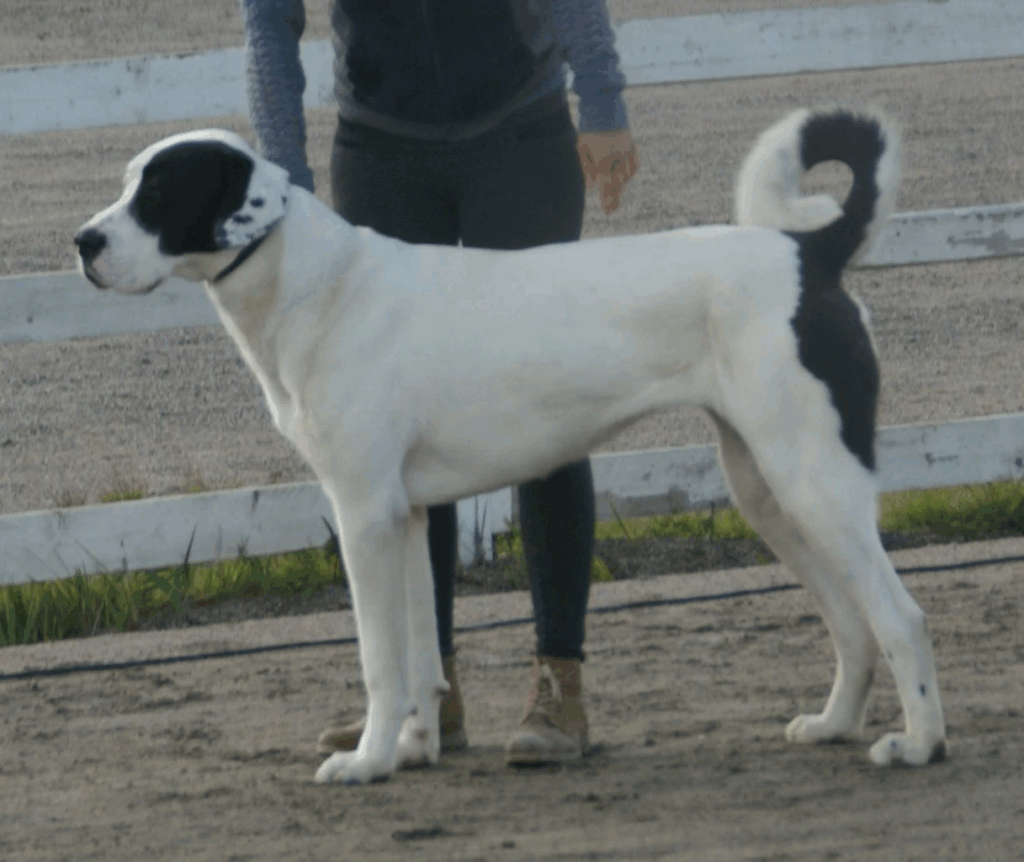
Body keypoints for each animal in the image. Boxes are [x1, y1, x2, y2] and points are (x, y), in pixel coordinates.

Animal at [75, 106, 948, 784]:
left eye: (161, 191)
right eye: (127, 181)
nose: (83, 242)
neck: (317, 286)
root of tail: (808, 253)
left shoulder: (362, 513)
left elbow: (382, 660)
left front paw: (366, 761)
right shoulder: (407, 516)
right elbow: (423, 655)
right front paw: (414, 749)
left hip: (813, 477)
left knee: (900, 616)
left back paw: (920, 745)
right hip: (765, 487)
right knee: (851, 621)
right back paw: (833, 725)